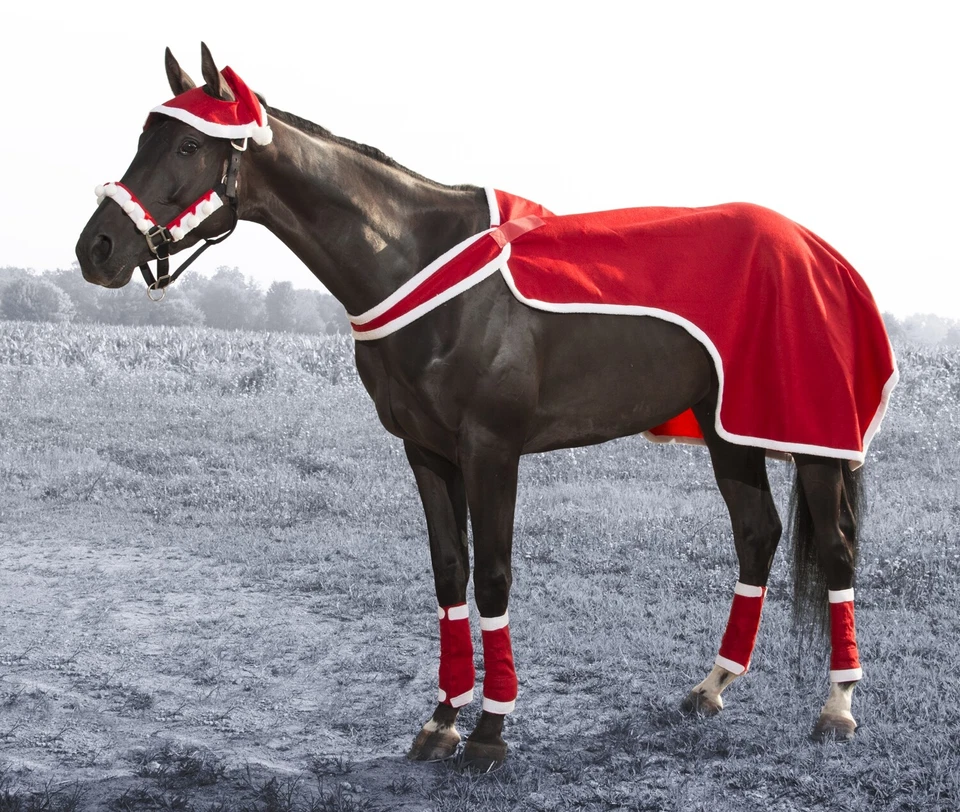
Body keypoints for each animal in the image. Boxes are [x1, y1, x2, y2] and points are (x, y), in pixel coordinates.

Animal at [76, 44, 897, 770]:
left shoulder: (492, 450)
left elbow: (494, 576)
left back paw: (838, 707)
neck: (418, 263)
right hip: (729, 431)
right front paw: (442, 721)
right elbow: (450, 573)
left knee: (836, 548)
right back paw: (712, 685)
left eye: (187, 144)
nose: (98, 248)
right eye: (144, 137)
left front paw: (492, 733)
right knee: (758, 536)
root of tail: (819, 250)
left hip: (811, 438)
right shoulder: (427, 451)